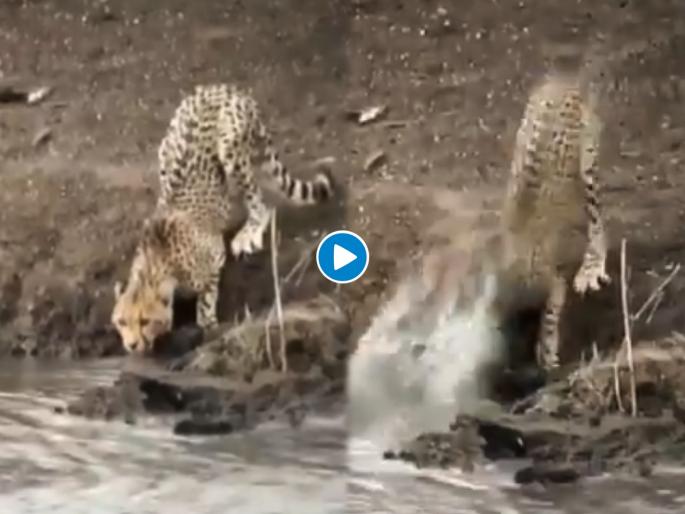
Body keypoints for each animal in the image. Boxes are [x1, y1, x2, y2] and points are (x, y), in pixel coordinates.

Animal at [111, 84, 334, 354]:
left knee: (260, 204)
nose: (132, 345)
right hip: (166, 147)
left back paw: (249, 232)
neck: (156, 263)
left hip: (229, 147)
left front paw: (207, 323)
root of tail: (222, 87)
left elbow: (206, 300)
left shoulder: (214, 256)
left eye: (144, 321)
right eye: (121, 321)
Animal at [500, 70, 611, 372]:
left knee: (596, 221)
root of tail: (562, 80)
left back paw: (592, 265)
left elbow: (552, 308)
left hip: (588, 166)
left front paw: (546, 349)